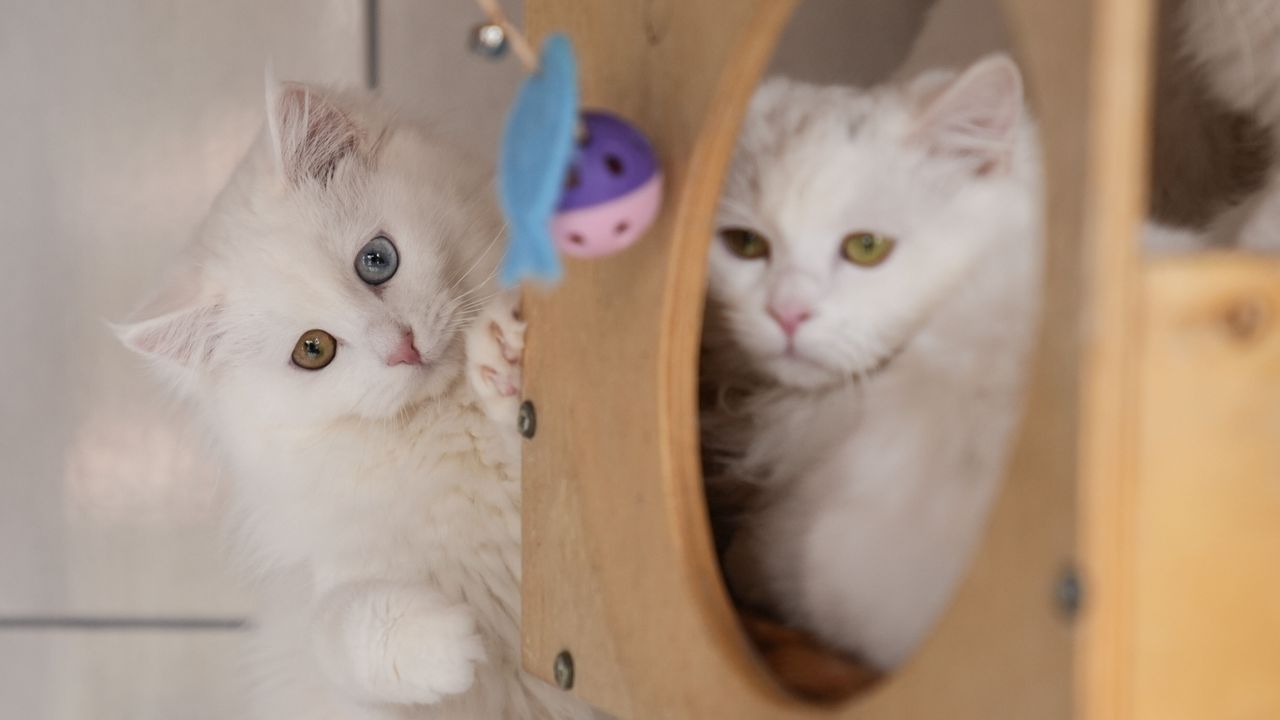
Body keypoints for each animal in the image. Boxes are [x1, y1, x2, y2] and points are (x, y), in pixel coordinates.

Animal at [116, 80, 592, 720]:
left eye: (377, 260)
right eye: (313, 350)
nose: (402, 348)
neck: (440, 427)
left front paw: (505, 357)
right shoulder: (335, 612)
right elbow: (339, 625)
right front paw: (449, 641)